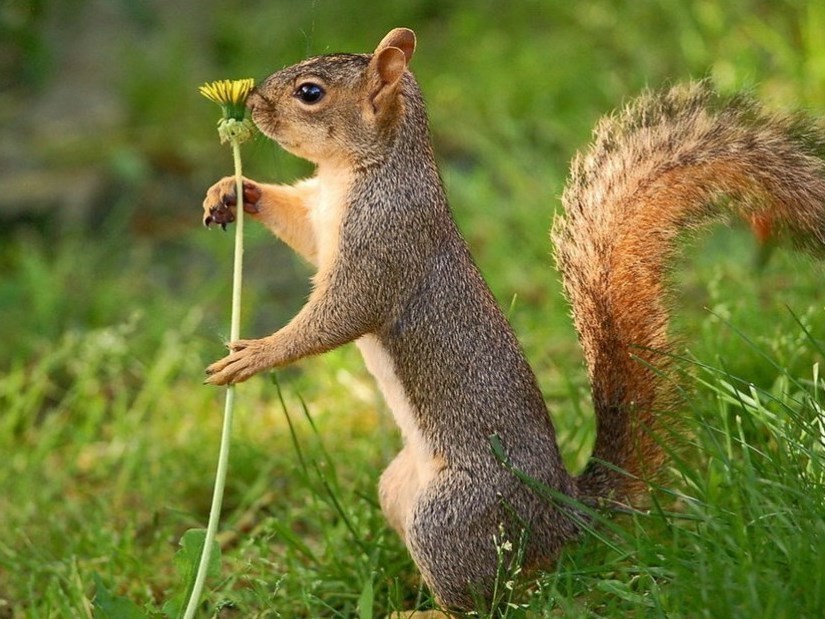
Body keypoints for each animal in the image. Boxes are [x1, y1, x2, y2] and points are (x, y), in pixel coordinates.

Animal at [200, 27, 824, 612]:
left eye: (311, 93)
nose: (251, 102)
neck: (356, 173)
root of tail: (562, 517)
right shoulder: (319, 219)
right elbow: (299, 230)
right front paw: (232, 189)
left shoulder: (386, 241)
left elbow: (343, 315)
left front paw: (255, 355)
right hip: (399, 491)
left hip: (449, 517)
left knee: (492, 600)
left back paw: (422, 613)